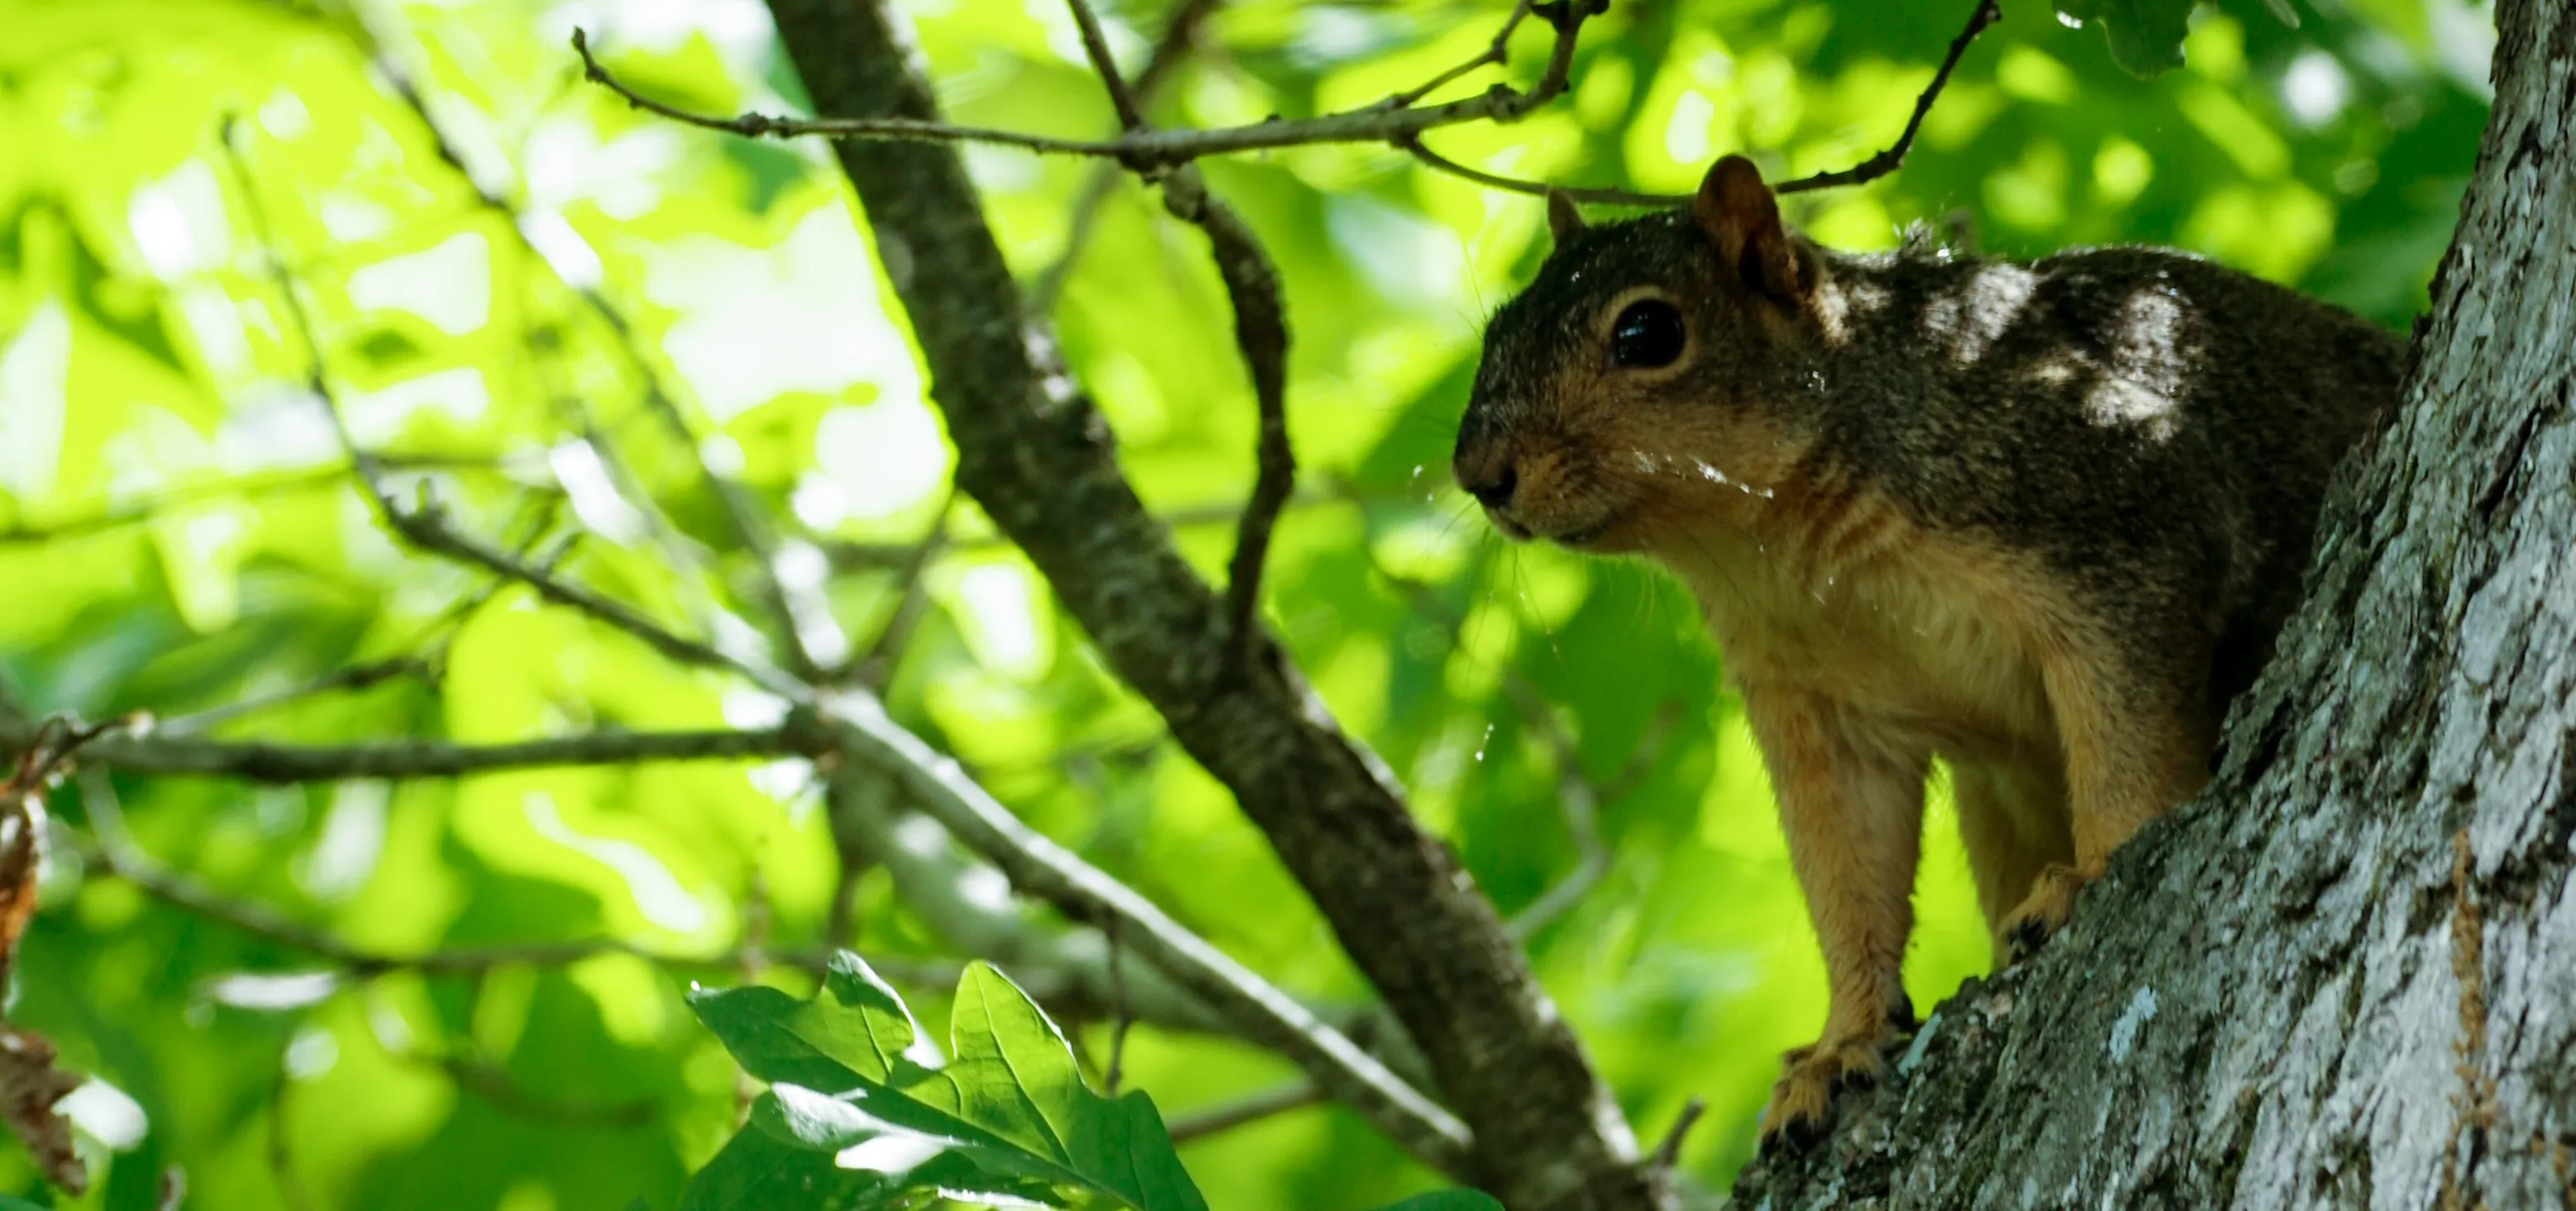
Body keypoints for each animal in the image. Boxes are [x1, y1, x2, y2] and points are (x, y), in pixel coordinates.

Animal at [1453, 155, 2401, 1151]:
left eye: (1647, 331)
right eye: (1497, 327)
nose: (1478, 473)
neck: (1775, 546)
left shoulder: (2117, 514)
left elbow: (2129, 742)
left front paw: (2095, 869)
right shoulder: (1814, 707)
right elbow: (1847, 872)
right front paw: (1842, 1041)